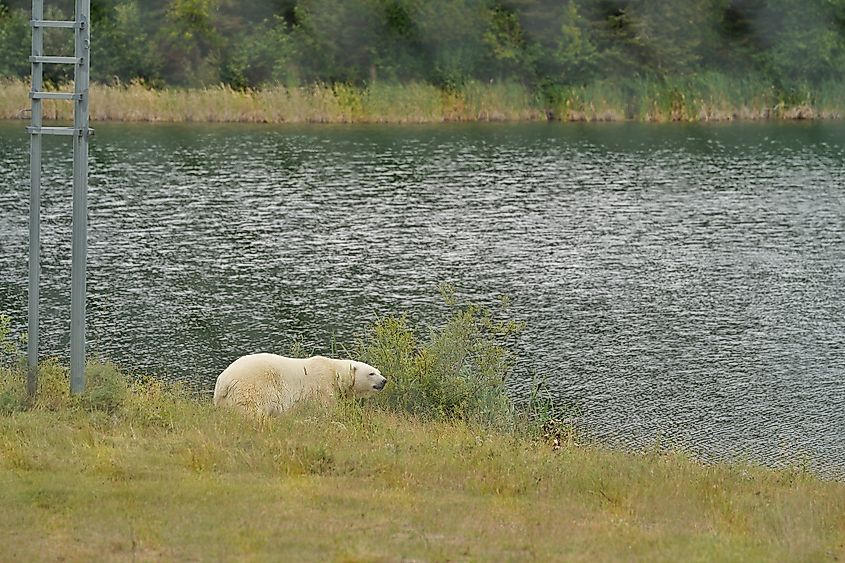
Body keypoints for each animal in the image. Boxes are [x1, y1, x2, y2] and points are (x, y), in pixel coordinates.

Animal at [211, 354, 386, 416]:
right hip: (252, 387)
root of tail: (224, 381)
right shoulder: (322, 386)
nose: (384, 381)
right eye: (371, 373)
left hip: (224, 400)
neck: (334, 371)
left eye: (379, 371)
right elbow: (325, 408)